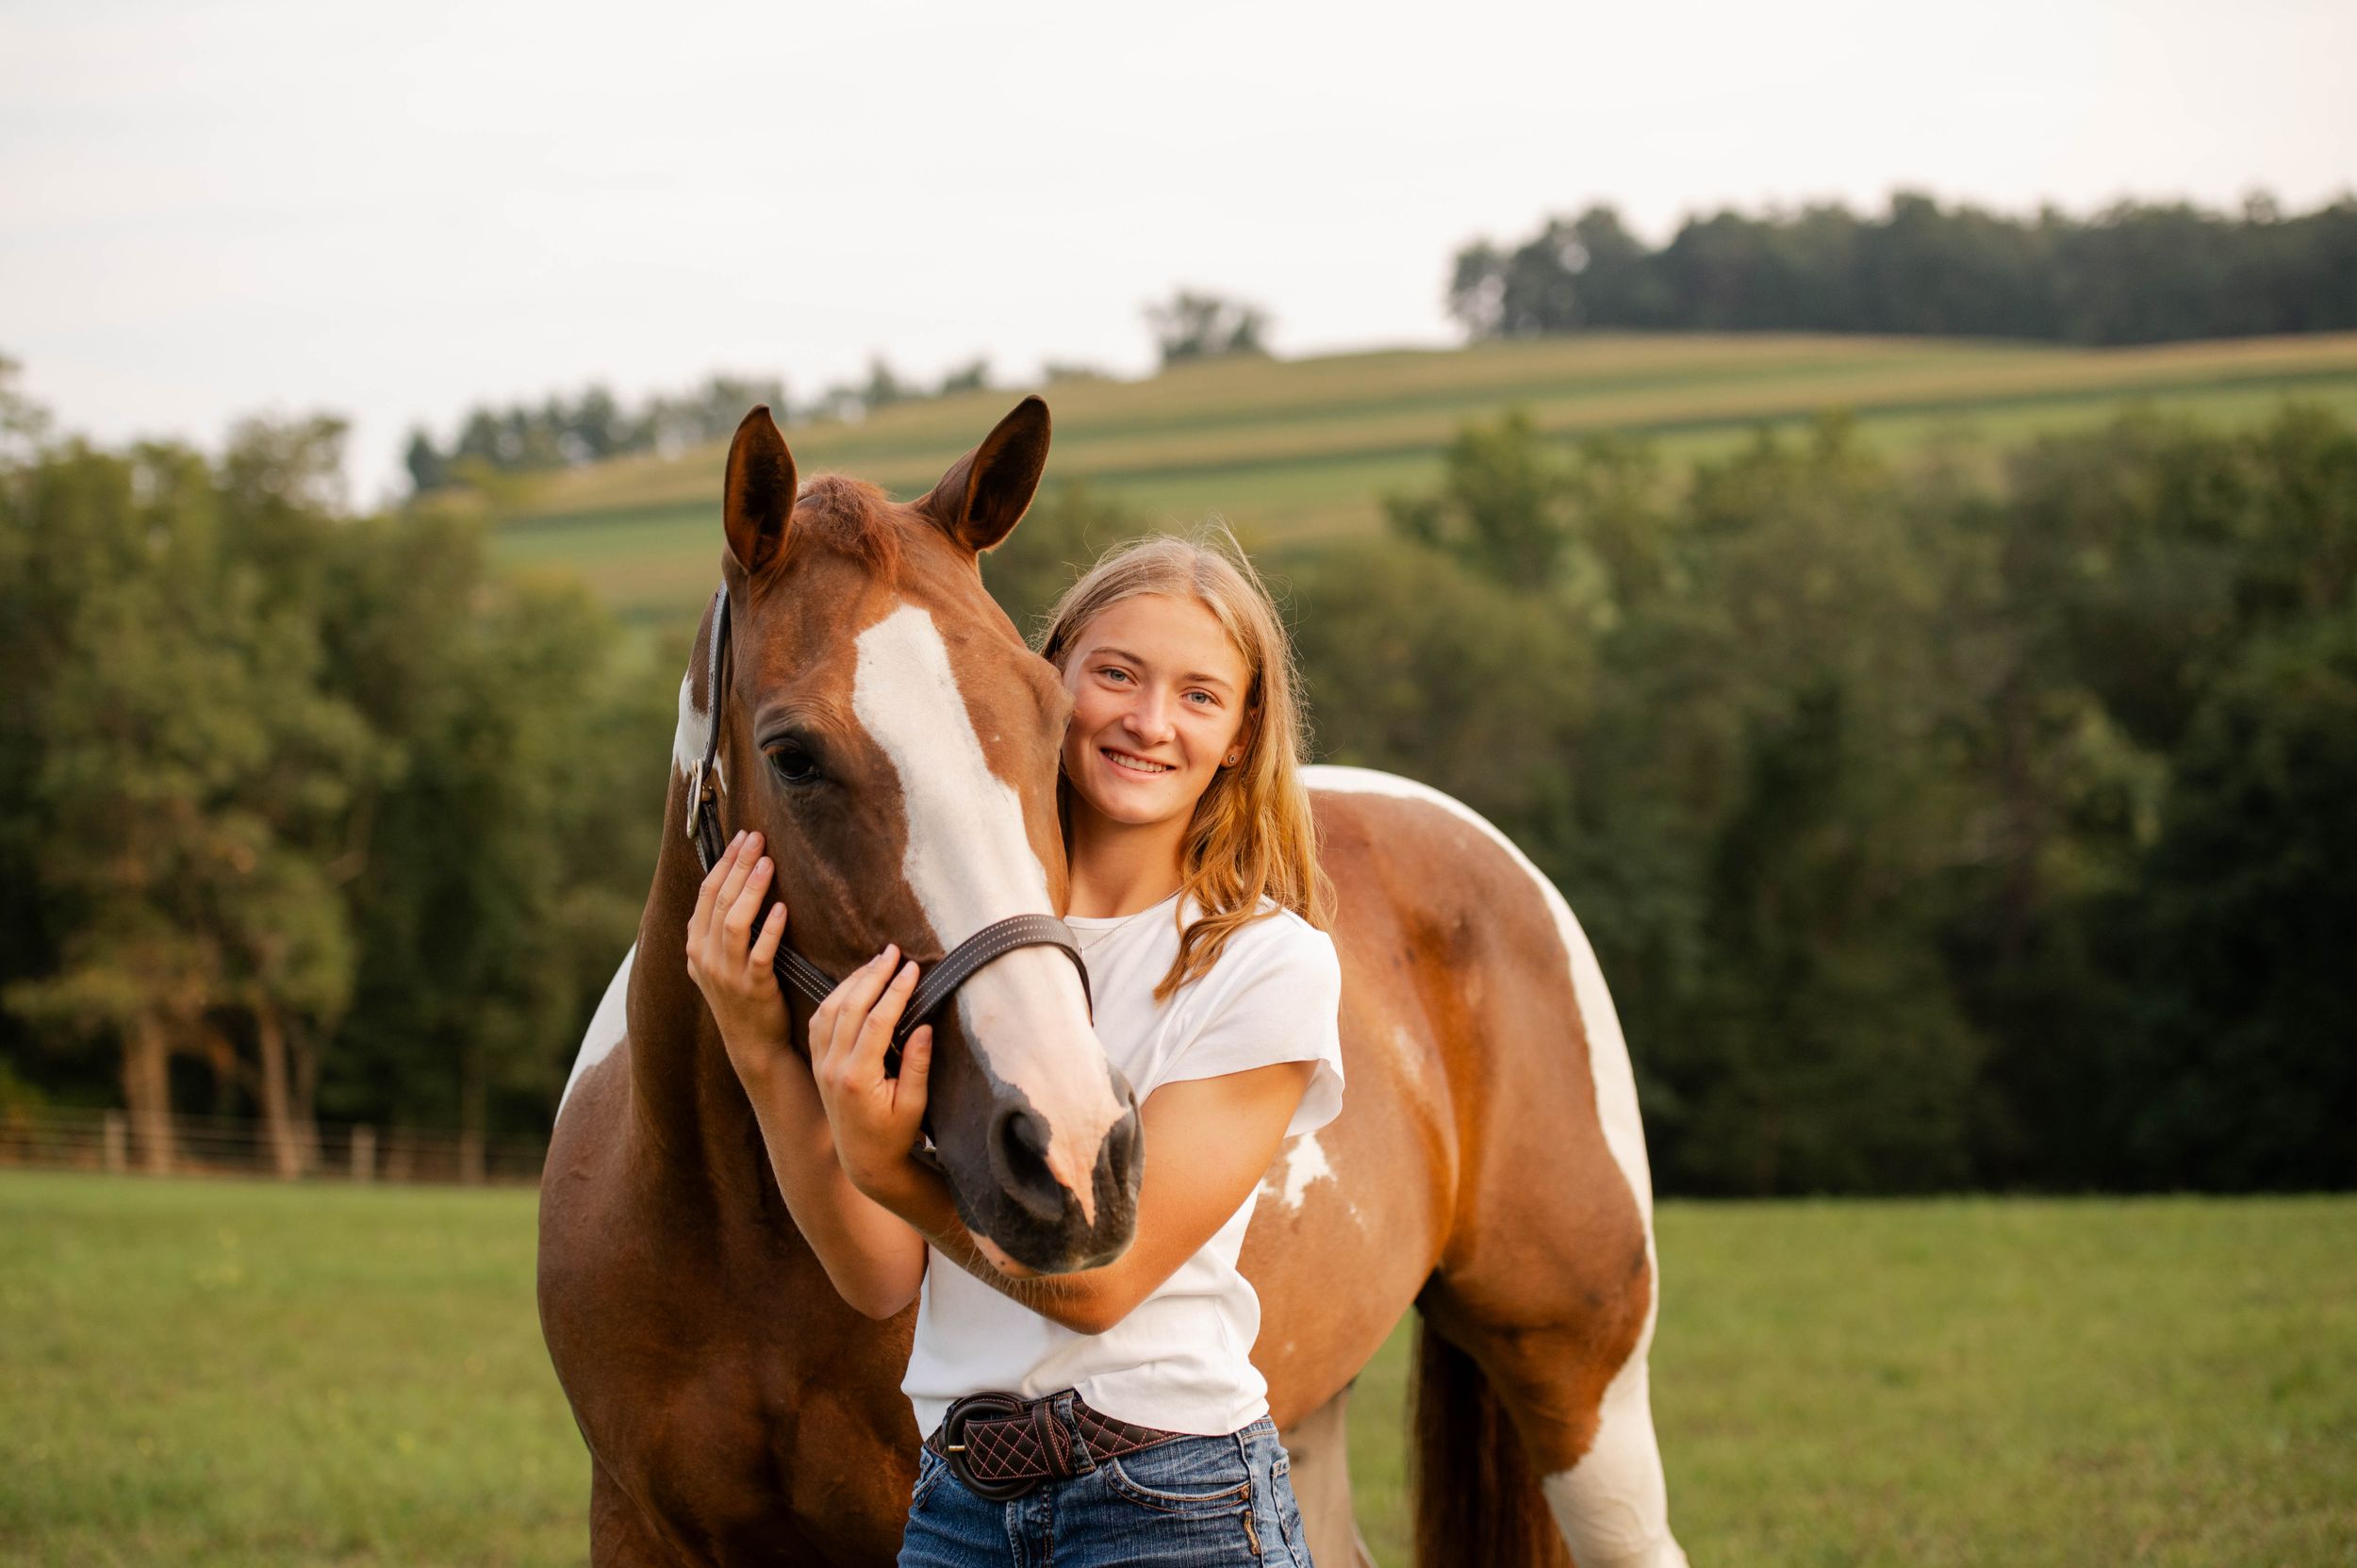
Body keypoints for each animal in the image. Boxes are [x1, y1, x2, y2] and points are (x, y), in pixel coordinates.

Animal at [538, 397, 1689, 1567]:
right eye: (794, 754)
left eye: (1051, 724)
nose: (1072, 1149)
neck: (733, 1230)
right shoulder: (633, 1522)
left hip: (1581, 1384)